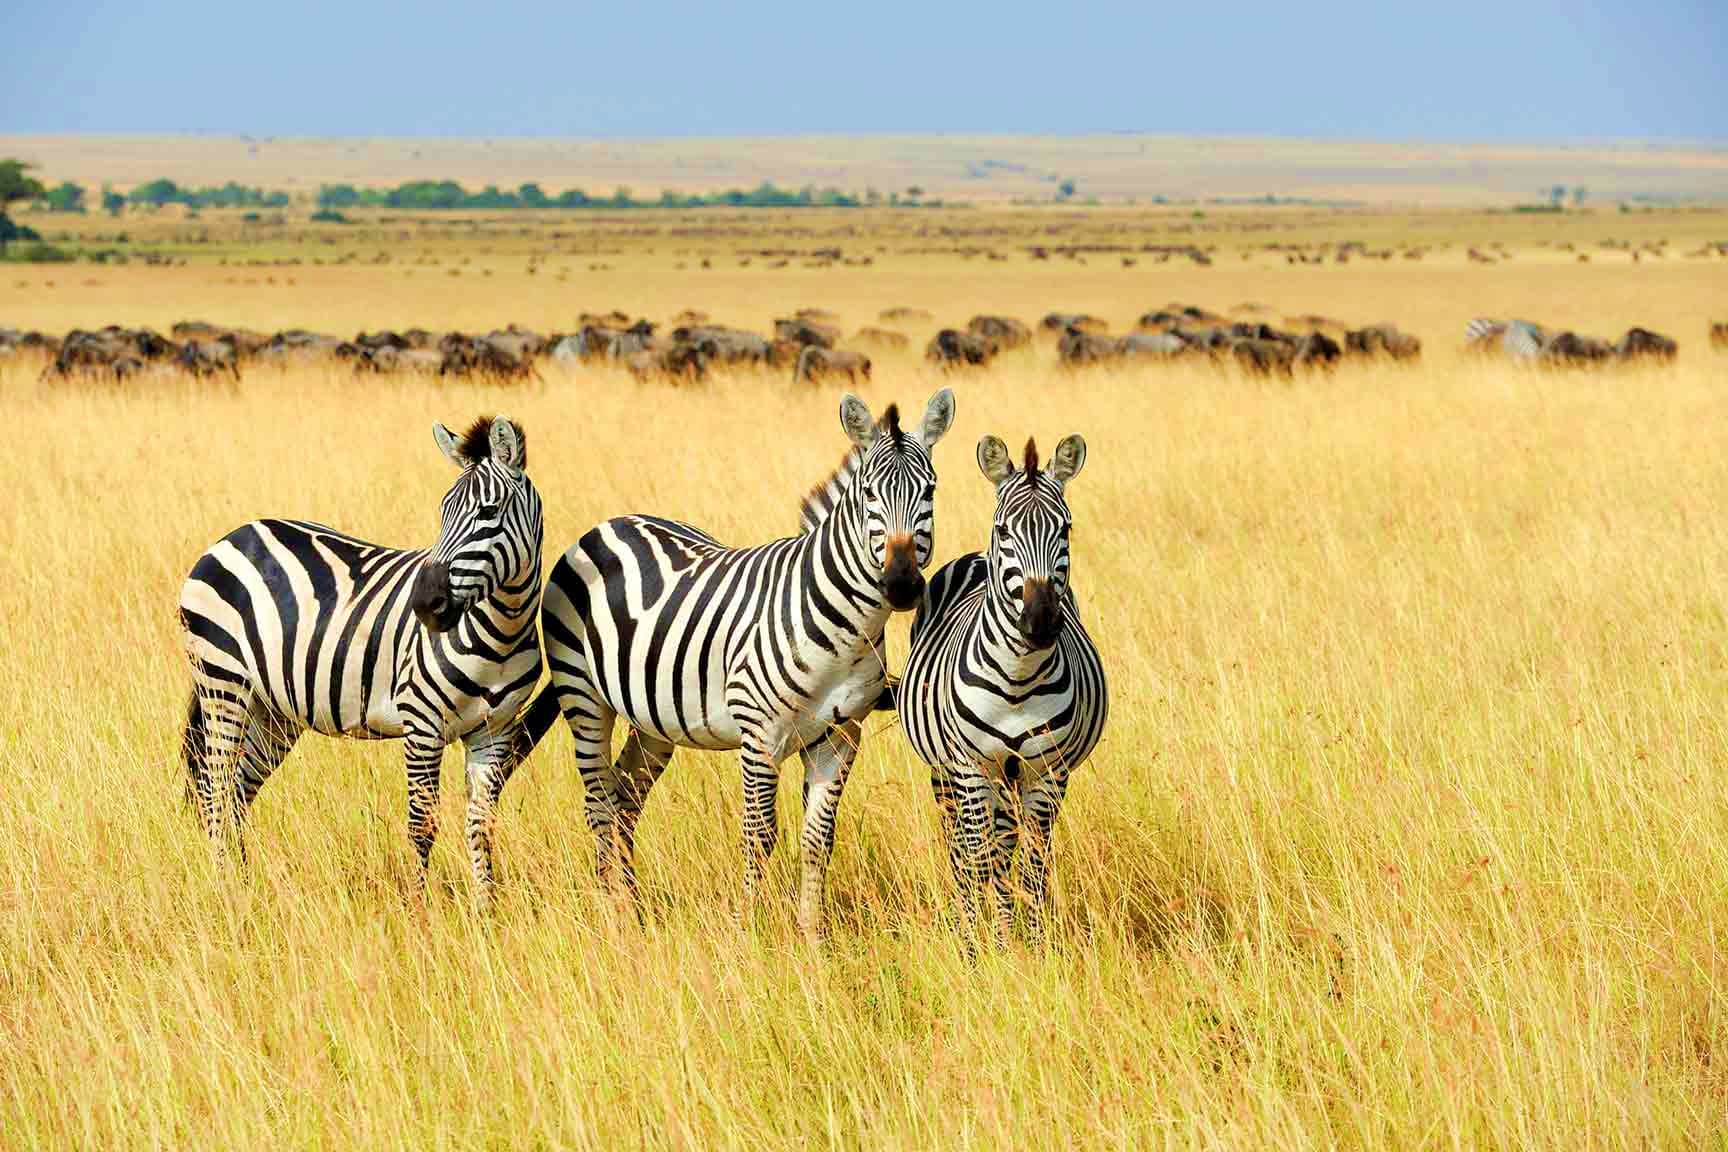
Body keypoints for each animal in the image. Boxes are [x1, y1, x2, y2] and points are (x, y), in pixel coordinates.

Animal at [178, 415, 543, 904]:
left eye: (488, 511)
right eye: (442, 511)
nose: (425, 604)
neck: (500, 633)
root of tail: (234, 535)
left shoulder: (494, 731)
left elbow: (482, 826)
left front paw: (486, 911)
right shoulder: (422, 723)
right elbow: (422, 826)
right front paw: (420, 911)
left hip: (274, 710)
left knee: (237, 793)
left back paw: (246, 887)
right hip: (223, 684)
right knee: (215, 790)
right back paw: (226, 892)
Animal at [508, 390, 955, 933]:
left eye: (930, 490)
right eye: (869, 493)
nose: (903, 584)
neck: (844, 628)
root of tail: (609, 524)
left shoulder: (841, 737)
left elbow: (818, 840)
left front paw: (811, 937)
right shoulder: (759, 735)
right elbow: (759, 837)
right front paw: (748, 931)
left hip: (653, 718)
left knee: (625, 798)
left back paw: (631, 907)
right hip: (584, 696)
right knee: (598, 801)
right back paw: (613, 913)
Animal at [894, 433, 1107, 943]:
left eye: (1065, 530)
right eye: (1004, 530)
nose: (1041, 622)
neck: (1018, 677)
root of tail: (975, 554)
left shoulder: (1048, 772)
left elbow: (1031, 864)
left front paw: (1029, 942)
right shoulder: (970, 768)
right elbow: (979, 859)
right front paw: (981, 944)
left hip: (1012, 776)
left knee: (1008, 847)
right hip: (948, 773)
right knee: (961, 847)